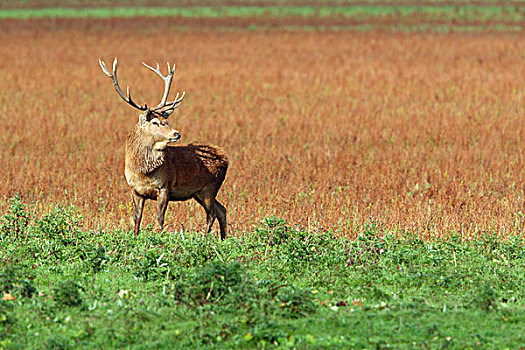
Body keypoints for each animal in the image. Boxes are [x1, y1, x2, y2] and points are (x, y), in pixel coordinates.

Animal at [100, 58, 227, 238]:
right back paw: (223, 239)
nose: (177, 133)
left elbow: (160, 218)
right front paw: (135, 237)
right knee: (222, 210)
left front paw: (159, 239)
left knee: (212, 214)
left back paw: (205, 238)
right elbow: (137, 218)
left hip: (209, 187)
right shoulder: (135, 190)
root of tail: (225, 160)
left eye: (166, 121)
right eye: (155, 122)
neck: (143, 172)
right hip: (199, 192)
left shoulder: (165, 187)